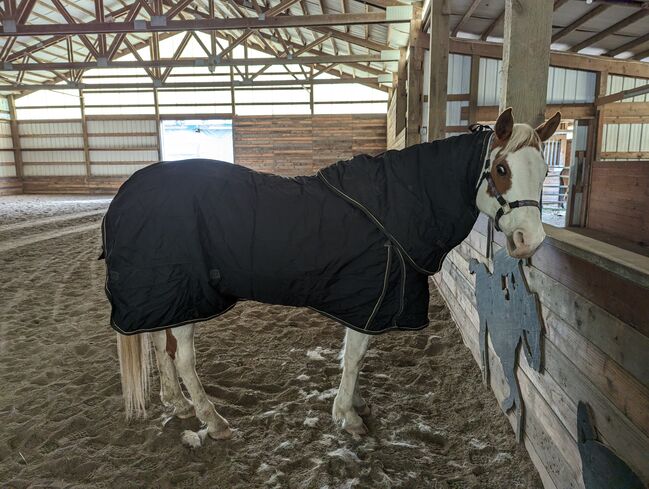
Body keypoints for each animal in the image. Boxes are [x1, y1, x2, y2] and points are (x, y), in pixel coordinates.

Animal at [104, 107, 560, 442]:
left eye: (546, 172)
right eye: (501, 169)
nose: (530, 240)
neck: (396, 206)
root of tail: (126, 194)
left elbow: (355, 356)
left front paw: (354, 407)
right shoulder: (367, 302)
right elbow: (355, 357)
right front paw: (348, 417)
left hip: (166, 297)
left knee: (159, 345)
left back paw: (178, 405)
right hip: (186, 296)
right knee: (182, 359)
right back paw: (213, 421)